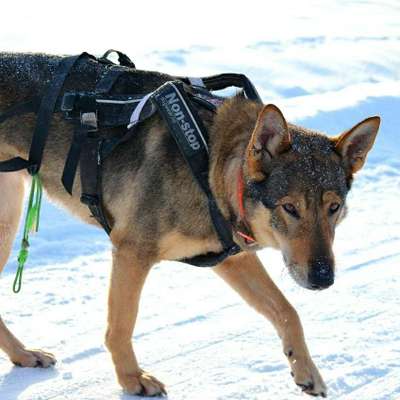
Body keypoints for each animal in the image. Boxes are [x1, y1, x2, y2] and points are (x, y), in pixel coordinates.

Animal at [0, 53, 380, 396]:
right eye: (290, 208)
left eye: (334, 208)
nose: (323, 279)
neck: (209, 166)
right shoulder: (132, 253)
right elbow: (120, 328)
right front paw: (131, 380)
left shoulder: (232, 259)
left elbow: (287, 311)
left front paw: (305, 370)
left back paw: (23, 355)